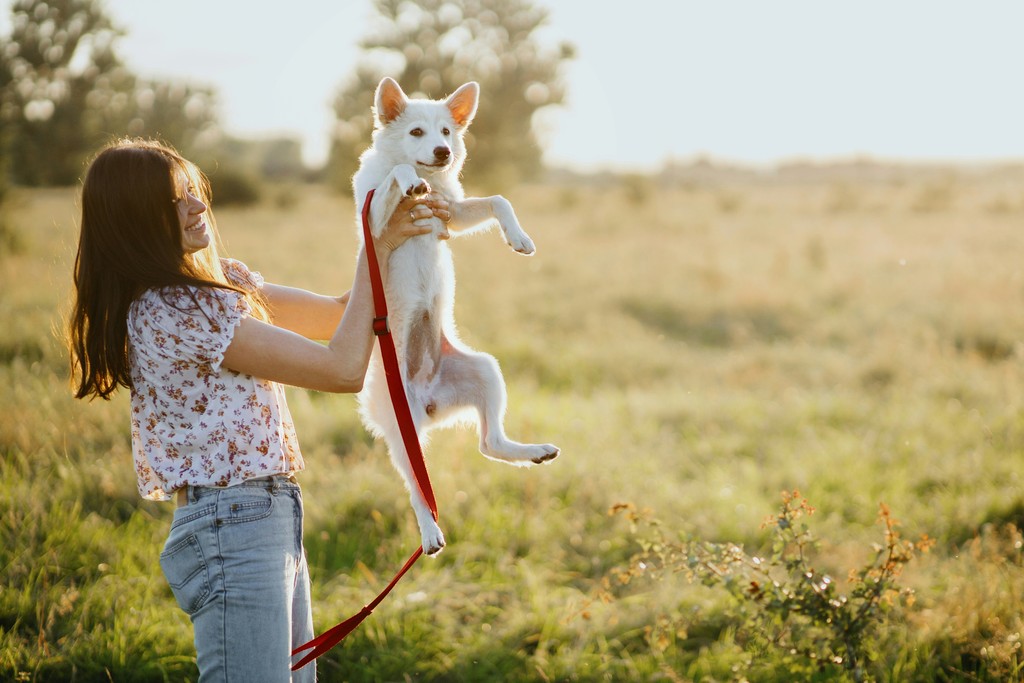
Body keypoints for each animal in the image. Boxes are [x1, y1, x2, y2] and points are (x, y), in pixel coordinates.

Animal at [354, 77, 561, 557]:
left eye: (447, 132)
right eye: (416, 132)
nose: (443, 151)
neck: (431, 182)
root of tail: (428, 398)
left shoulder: (455, 212)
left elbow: (498, 200)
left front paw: (519, 239)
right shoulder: (373, 221)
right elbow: (395, 175)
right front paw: (406, 179)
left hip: (485, 370)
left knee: (488, 443)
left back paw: (532, 452)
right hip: (403, 432)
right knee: (416, 488)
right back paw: (429, 532)